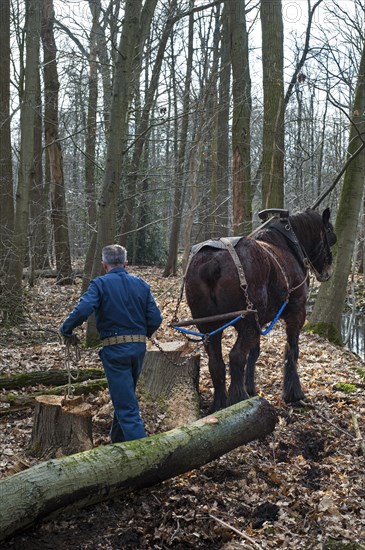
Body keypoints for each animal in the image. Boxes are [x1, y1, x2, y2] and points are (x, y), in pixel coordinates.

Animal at [185, 209, 336, 412]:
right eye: (330, 232)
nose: (327, 272)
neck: (290, 245)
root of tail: (213, 262)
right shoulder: (297, 313)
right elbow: (292, 351)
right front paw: (293, 393)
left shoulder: (260, 322)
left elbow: (255, 353)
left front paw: (251, 388)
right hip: (246, 321)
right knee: (236, 356)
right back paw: (238, 399)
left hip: (210, 327)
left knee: (216, 363)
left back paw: (220, 404)